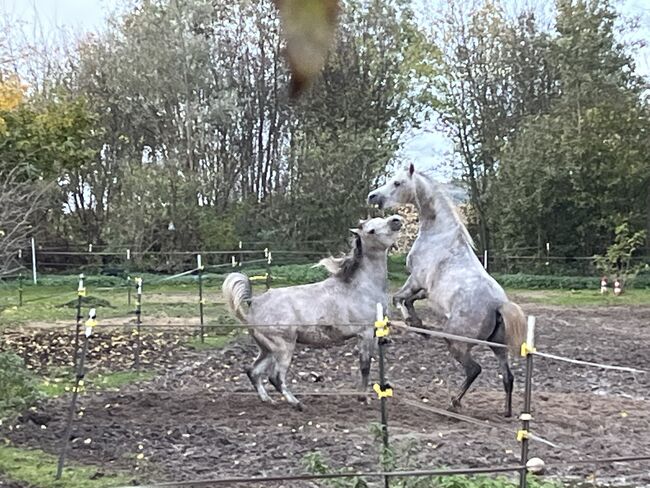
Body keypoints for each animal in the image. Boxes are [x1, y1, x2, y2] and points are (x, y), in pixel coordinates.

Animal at [221, 215, 400, 410]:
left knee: (253, 371)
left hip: (267, 349)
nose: (396, 220)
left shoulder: (374, 334)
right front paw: (362, 398)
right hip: (283, 347)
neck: (360, 287)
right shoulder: (364, 334)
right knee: (275, 377)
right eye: (371, 230)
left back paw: (268, 400)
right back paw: (297, 403)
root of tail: (254, 302)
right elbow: (365, 366)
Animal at [368, 166, 524, 418]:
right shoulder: (425, 290)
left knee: (474, 369)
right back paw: (506, 413)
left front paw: (416, 325)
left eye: (398, 183)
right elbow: (408, 300)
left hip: (456, 342)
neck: (439, 234)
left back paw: (454, 402)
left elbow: (399, 298)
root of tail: (499, 305)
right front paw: (418, 325)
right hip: (498, 348)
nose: (372, 196)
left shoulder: (416, 279)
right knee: (508, 377)